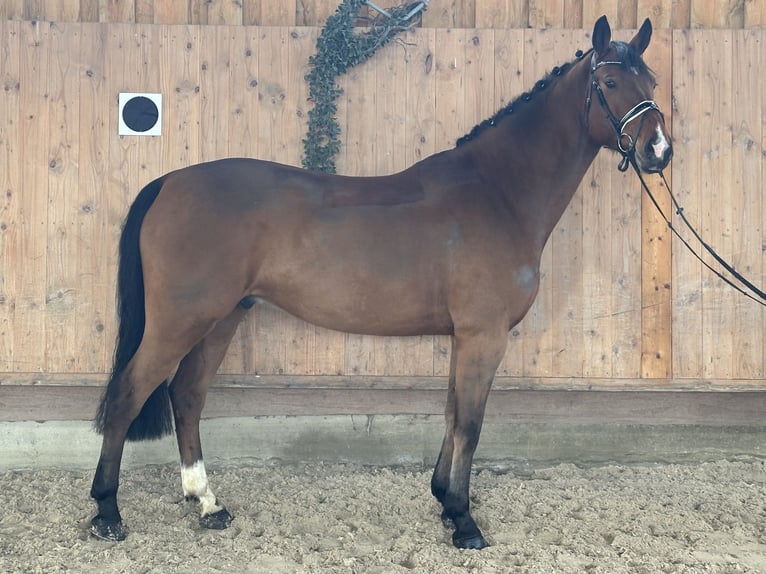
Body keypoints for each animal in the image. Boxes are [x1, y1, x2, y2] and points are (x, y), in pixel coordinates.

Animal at [90, 15, 672, 549]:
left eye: (652, 80)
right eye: (611, 82)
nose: (659, 150)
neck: (497, 192)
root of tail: (169, 182)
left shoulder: (464, 336)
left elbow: (452, 412)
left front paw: (445, 501)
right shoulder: (484, 335)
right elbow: (471, 423)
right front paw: (465, 523)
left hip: (222, 317)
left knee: (187, 395)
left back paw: (208, 504)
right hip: (182, 319)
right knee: (128, 395)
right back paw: (107, 514)